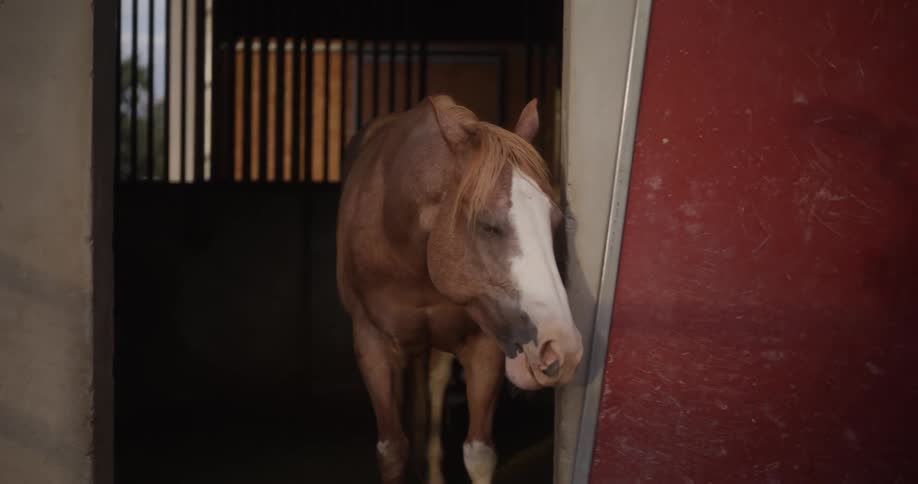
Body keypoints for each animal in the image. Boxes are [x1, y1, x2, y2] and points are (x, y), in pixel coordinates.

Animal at [336, 94, 583, 484]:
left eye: (555, 221)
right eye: (487, 225)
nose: (562, 349)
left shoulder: (486, 346)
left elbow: (478, 454)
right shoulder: (372, 344)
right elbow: (392, 451)